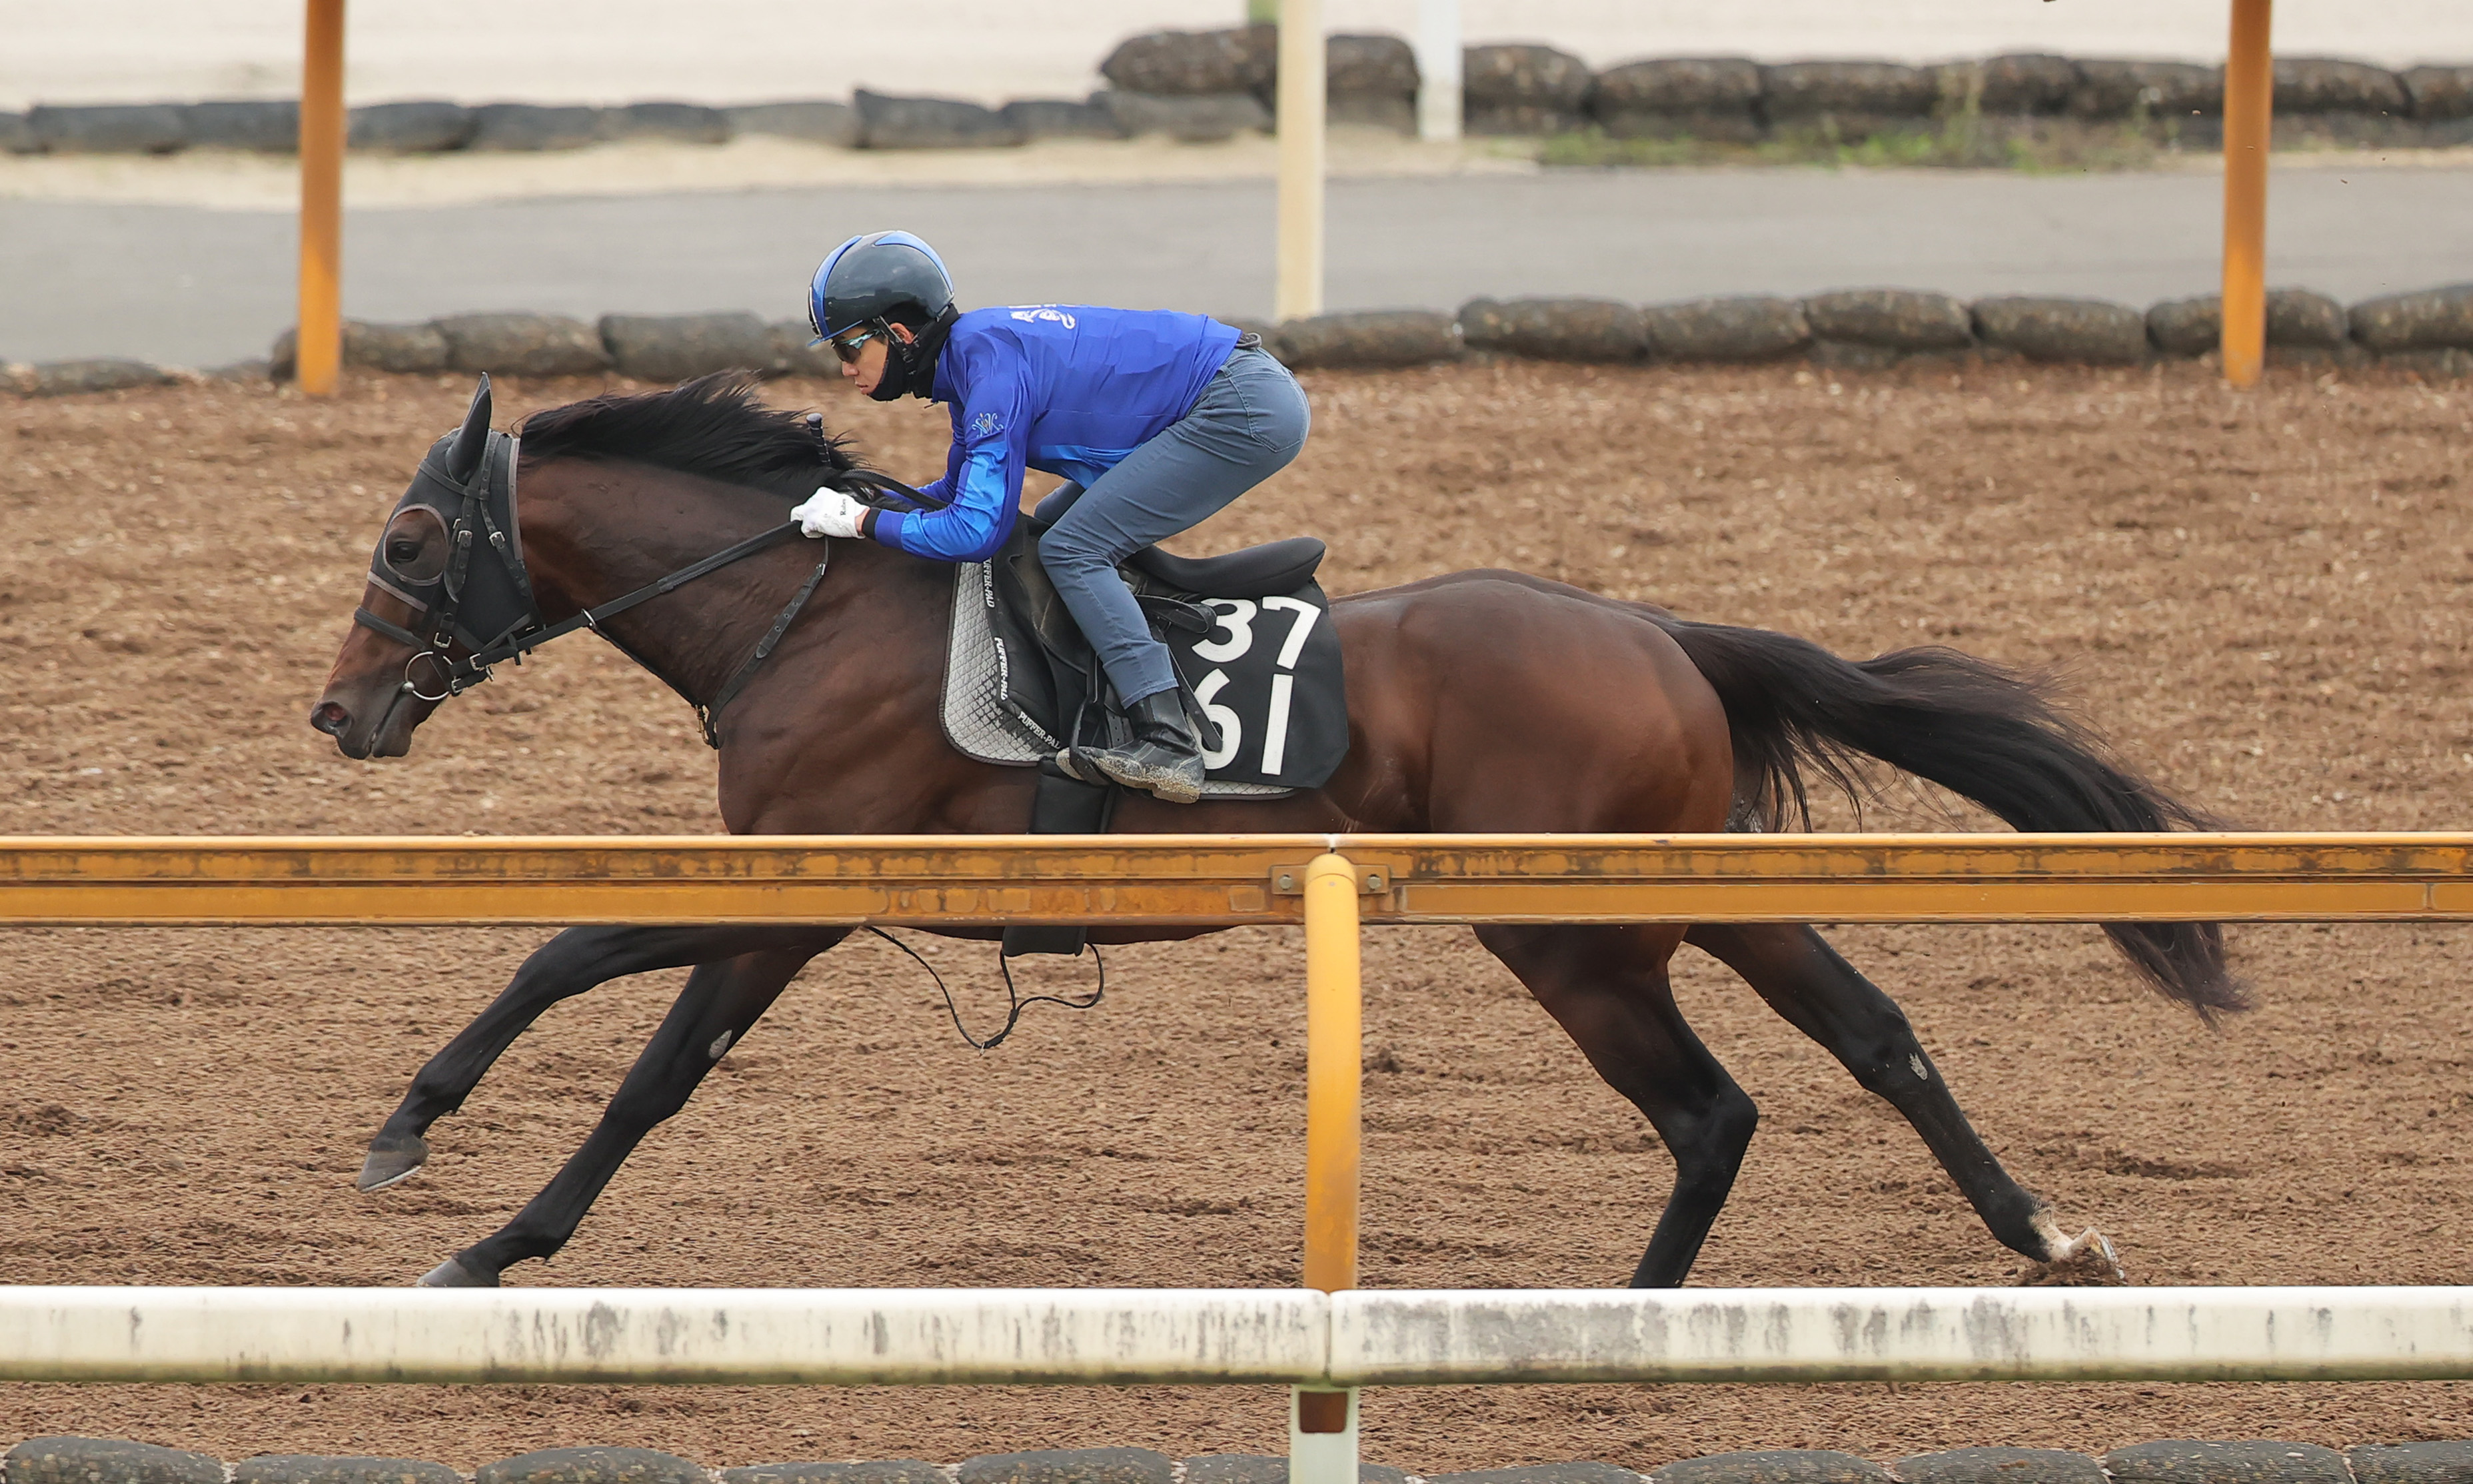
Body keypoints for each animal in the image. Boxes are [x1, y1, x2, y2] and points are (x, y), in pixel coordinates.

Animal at [310, 373, 2242, 1290]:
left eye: (407, 544)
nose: (336, 715)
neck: (812, 605)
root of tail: (1658, 634)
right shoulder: (803, 889)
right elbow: (594, 988)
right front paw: (437, 1155)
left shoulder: (804, 887)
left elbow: (618, 1025)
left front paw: (453, 1190)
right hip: (1681, 892)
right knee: (1874, 1038)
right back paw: (2041, 1235)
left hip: (1570, 934)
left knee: (1712, 1108)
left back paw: (1618, 1316)